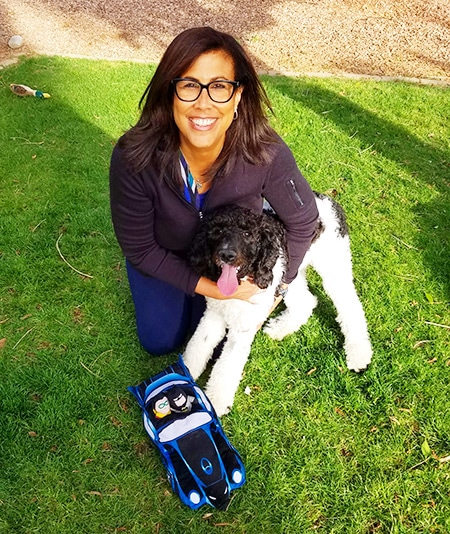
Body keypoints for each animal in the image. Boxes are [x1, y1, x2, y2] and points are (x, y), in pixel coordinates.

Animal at [183, 195, 372, 416]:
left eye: (248, 233)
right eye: (218, 231)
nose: (226, 254)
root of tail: (328, 200)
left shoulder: (242, 330)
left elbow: (226, 366)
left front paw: (215, 402)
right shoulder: (213, 315)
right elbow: (197, 347)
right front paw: (185, 376)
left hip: (333, 267)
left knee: (350, 306)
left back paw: (359, 354)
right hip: (291, 274)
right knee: (307, 301)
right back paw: (280, 328)